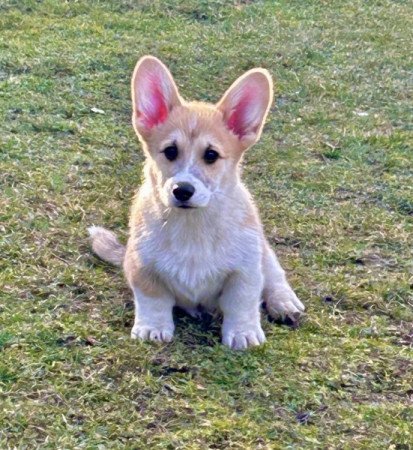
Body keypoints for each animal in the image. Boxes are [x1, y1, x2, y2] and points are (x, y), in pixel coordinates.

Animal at [88, 56, 304, 350]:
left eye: (211, 155)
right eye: (170, 151)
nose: (183, 190)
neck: (192, 225)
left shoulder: (245, 271)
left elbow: (242, 302)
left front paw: (243, 333)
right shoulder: (142, 267)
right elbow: (153, 300)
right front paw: (152, 327)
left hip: (262, 251)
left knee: (274, 274)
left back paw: (284, 302)